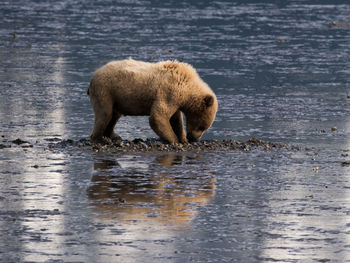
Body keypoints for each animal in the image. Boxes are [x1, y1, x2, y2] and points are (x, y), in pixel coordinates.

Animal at [87, 58, 217, 144]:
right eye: (202, 127)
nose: (194, 139)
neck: (186, 88)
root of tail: (93, 75)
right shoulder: (169, 91)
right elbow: (158, 116)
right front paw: (174, 140)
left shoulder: (175, 99)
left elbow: (175, 119)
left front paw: (182, 138)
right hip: (105, 90)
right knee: (105, 113)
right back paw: (99, 138)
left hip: (116, 97)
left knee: (114, 115)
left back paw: (113, 135)